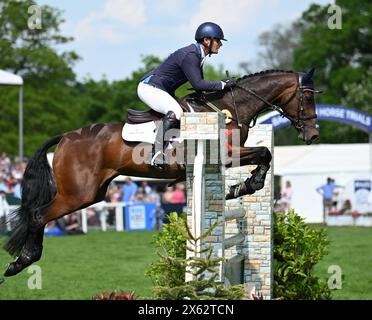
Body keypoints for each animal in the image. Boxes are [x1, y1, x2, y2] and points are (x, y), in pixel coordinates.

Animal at [0, 68, 320, 278]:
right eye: (307, 98)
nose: (314, 135)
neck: (230, 108)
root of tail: (66, 137)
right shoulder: (227, 155)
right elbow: (264, 152)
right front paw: (247, 184)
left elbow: (264, 154)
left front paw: (240, 187)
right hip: (78, 193)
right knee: (38, 215)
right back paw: (21, 261)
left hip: (93, 193)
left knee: (40, 214)